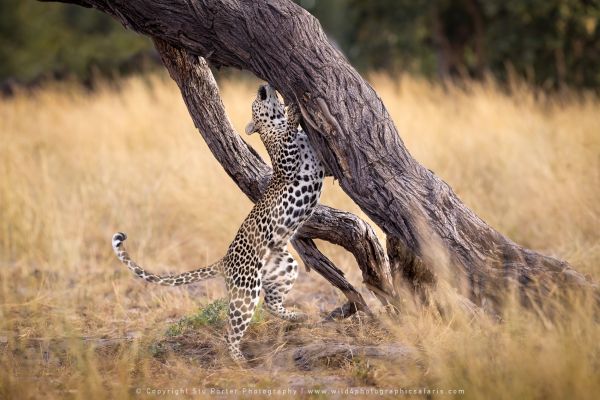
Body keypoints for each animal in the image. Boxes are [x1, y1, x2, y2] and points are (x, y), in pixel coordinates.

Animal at [114, 84, 326, 362]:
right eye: (254, 102)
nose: (263, 86)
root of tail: (224, 261)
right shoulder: (286, 161)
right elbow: (289, 134)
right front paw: (294, 112)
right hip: (247, 289)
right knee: (233, 329)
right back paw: (239, 360)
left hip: (285, 267)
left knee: (271, 303)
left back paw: (296, 316)